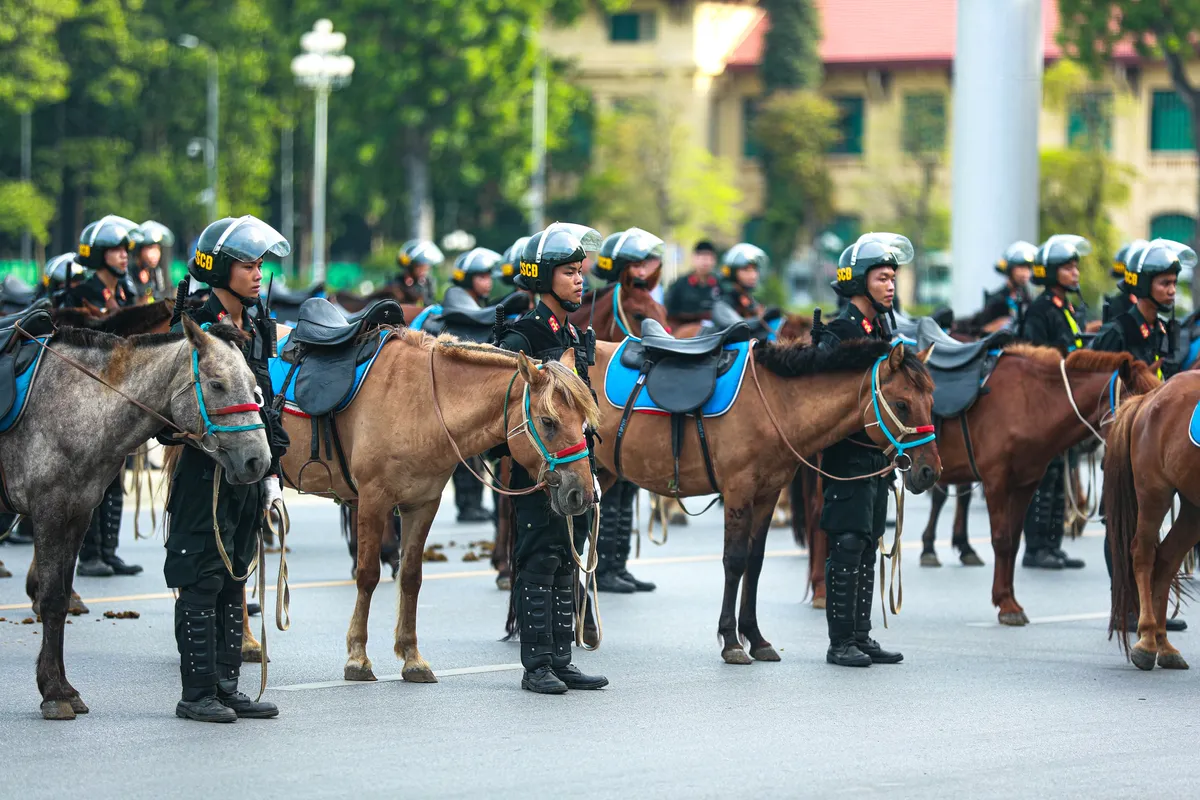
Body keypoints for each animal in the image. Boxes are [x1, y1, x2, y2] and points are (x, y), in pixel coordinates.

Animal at [3, 314, 271, 719]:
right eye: (216, 384)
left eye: (255, 387)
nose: (259, 460)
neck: (84, 403)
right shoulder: (49, 512)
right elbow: (50, 598)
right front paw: (53, 692)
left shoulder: (77, 514)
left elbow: (61, 600)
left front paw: (62, 687)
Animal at [279, 328, 600, 686]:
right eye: (548, 421)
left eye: (584, 421)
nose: (581, 493)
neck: (419, 404)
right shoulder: (373, 501)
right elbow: (367, 575)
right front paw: (358, 657)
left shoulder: (422, 504)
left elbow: (411, 577)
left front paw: (412, 658)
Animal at [592, 335, 945, 662]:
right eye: (902, 405)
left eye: (931, 401)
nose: (930, 471)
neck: (775, 405)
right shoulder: (738, 491)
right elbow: (735, 561)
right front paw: (731, 641)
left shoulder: (767, 495)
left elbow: (755, 561)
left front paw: (755, 637)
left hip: (602, 474)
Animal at [1099, 374, 1200, 671]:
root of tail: (1150, 396)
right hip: (1153, 492)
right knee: (1143, 554)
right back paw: (1146, 641)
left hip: (1193, 507)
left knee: (1167, 559)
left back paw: (1163, 643)